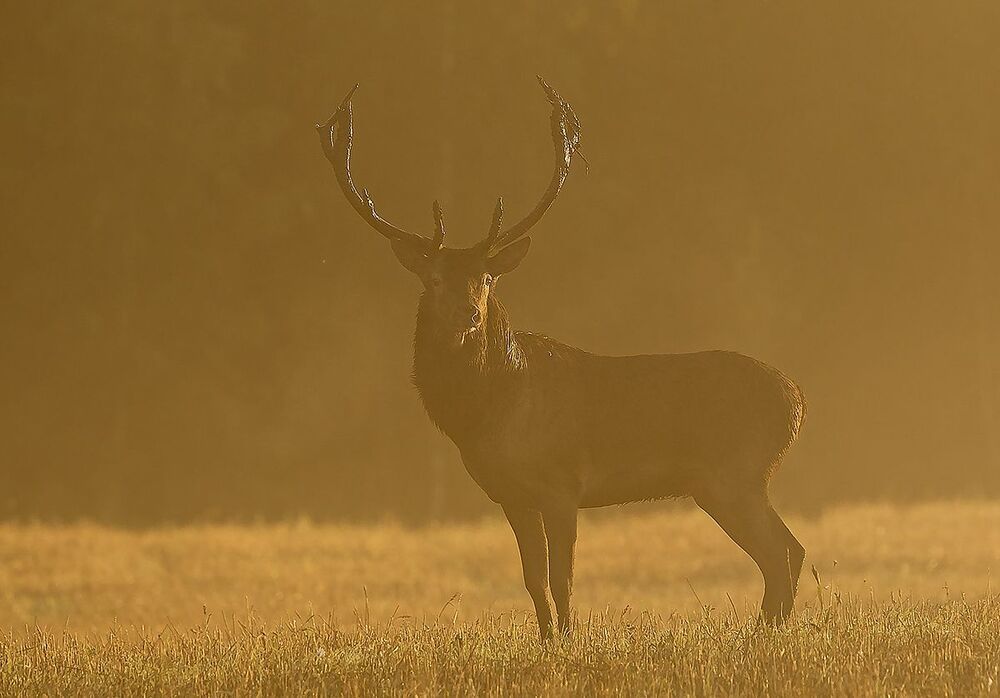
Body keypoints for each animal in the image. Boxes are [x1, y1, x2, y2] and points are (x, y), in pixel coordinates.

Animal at [316, 78, 807, 641]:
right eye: (435, 279)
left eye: (487, 278)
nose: (466, 313)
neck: (491, 413)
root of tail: (798, 400)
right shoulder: (512, 496)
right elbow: (532, 578)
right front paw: (548, 638)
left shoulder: (562, 483)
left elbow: (562, 576)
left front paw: (571, 639)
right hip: (735, 480)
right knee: (790, 550)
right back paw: (770, 629)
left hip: (735, 473)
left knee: (779, 554)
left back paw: (766, 631)